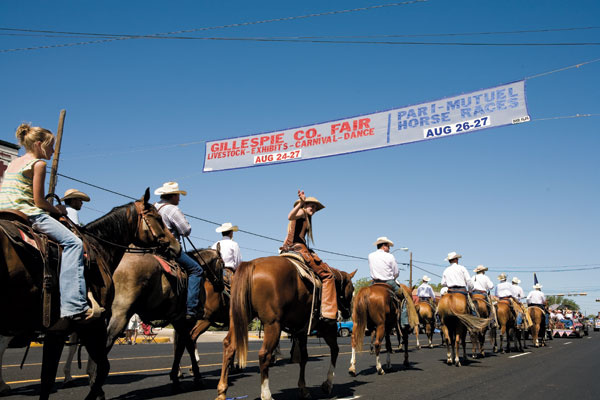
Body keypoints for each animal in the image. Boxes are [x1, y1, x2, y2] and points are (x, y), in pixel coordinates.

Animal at [0, 189, 178, 398]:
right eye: (158, 218)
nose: (176, 246)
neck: (98, 247)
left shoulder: (59, 329)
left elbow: (48, 378)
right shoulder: (92, 322)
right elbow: (101, 366)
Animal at [216, 256, 356, 400]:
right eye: (352, 289)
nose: (347, 313)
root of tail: (252, 264)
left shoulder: (301, 331)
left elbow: (304, 357)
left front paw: (303, 389)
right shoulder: (328, 327)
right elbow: (335, 350)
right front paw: (328, 384)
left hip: (238, 319)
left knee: (229, 346)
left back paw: (222, 391)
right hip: (273, 325)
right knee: (264, 355)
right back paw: (266, 394)